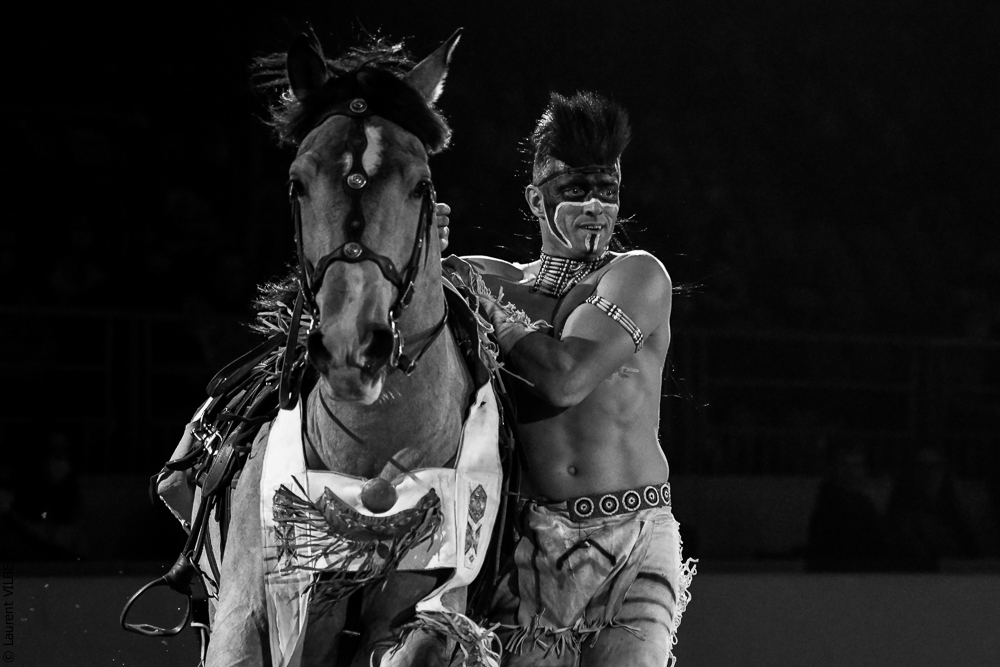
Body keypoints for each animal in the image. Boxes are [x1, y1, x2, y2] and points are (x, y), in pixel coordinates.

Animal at [124, 30, 510, 667]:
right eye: (298, 182)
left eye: (420, 185)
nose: (352, 344)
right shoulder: (246, 613)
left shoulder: (427, 608)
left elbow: (426, 631)